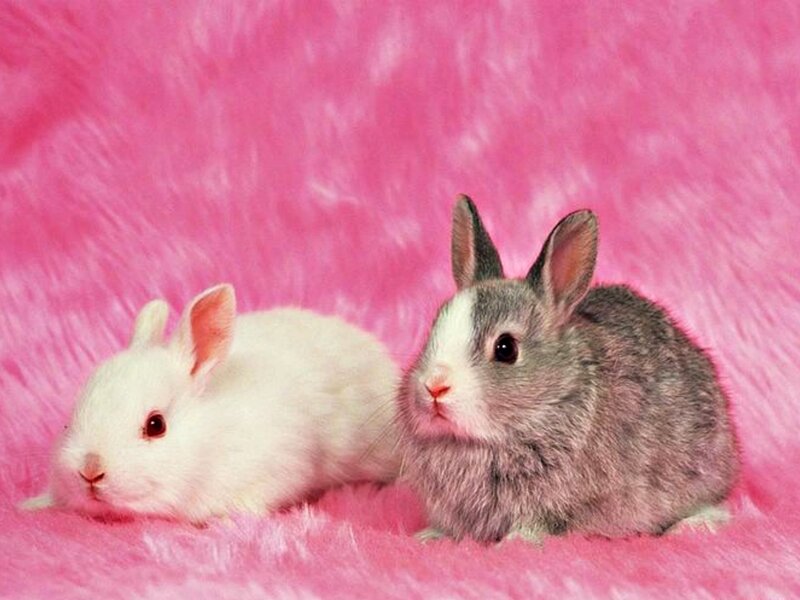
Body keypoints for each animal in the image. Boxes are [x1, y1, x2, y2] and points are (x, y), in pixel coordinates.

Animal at [23, 284, 401, 523]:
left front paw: (227, 519)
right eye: (70, 420)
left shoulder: (281, 463)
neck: (210, 437)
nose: (90, 470)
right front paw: (32, 504)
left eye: (156, 425)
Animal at [399, 196, 739, 544]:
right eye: (432, 330)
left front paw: (516, 541)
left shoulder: (552, 503)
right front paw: (428, 537)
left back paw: (693, 525)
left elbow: (537, 523)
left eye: (506, 348)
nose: (435, 386)